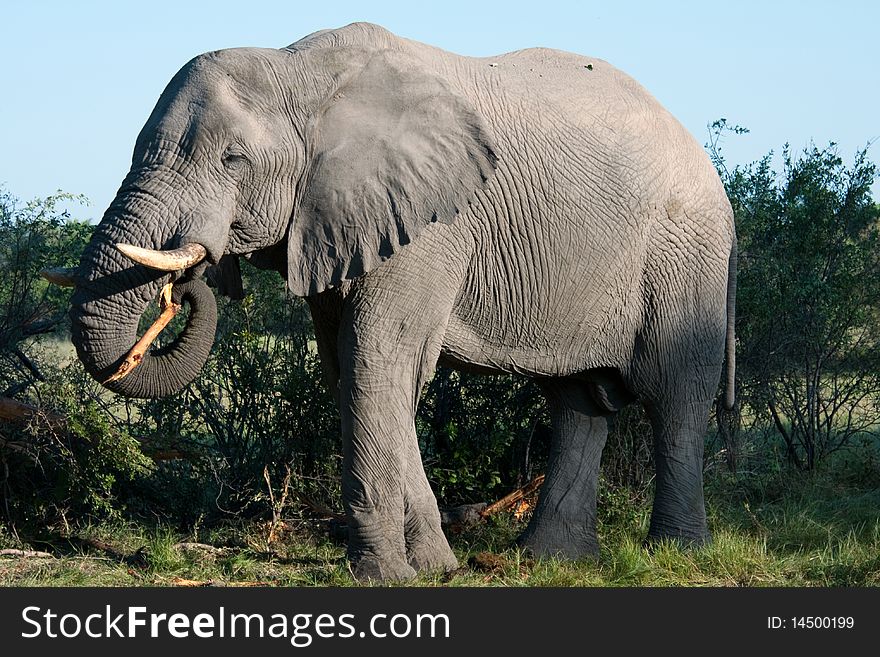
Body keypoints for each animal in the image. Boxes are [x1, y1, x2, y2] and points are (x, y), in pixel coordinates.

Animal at [58, 23, 740, 580]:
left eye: (233, 159)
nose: (192, 276)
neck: (299, 70)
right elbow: (352, 369)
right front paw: (436, 566)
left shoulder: (430, 224)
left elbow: (377, 358)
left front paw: (385, 575)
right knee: (577, 402)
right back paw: (550, 560)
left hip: (686, 256)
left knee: (674, 395)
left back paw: (676, 553)